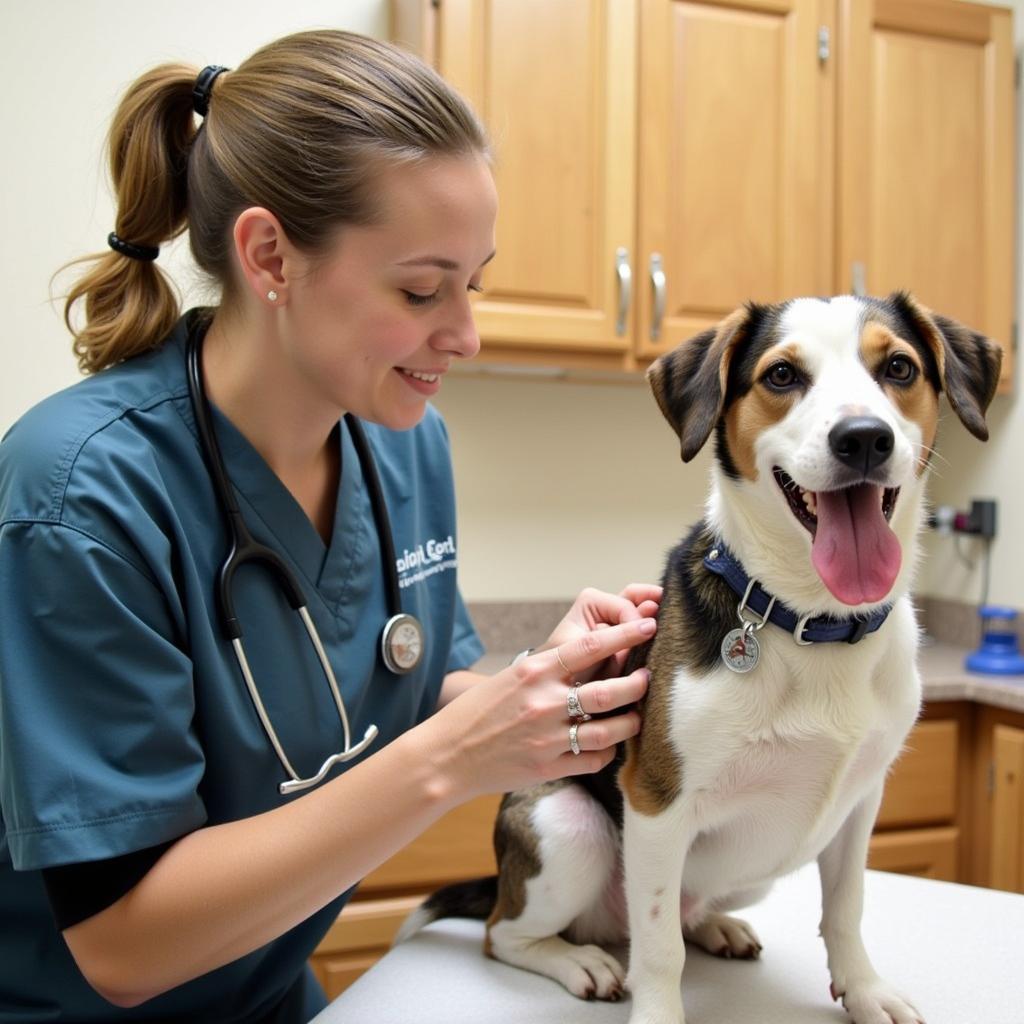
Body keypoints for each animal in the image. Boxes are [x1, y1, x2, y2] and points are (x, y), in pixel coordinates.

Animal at [397, 294, 999, 1024]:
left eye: (900, 367)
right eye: (781, 375)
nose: (863, 438)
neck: (813, 622)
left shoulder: (861, 805)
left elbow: (845, 907)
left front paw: (863, 990)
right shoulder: (656, 804)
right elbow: (660, 951)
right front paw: (659, 1012)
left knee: (686, 914)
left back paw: (716, 925)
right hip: (567, 828)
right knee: (509, 936)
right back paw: (577, 961)